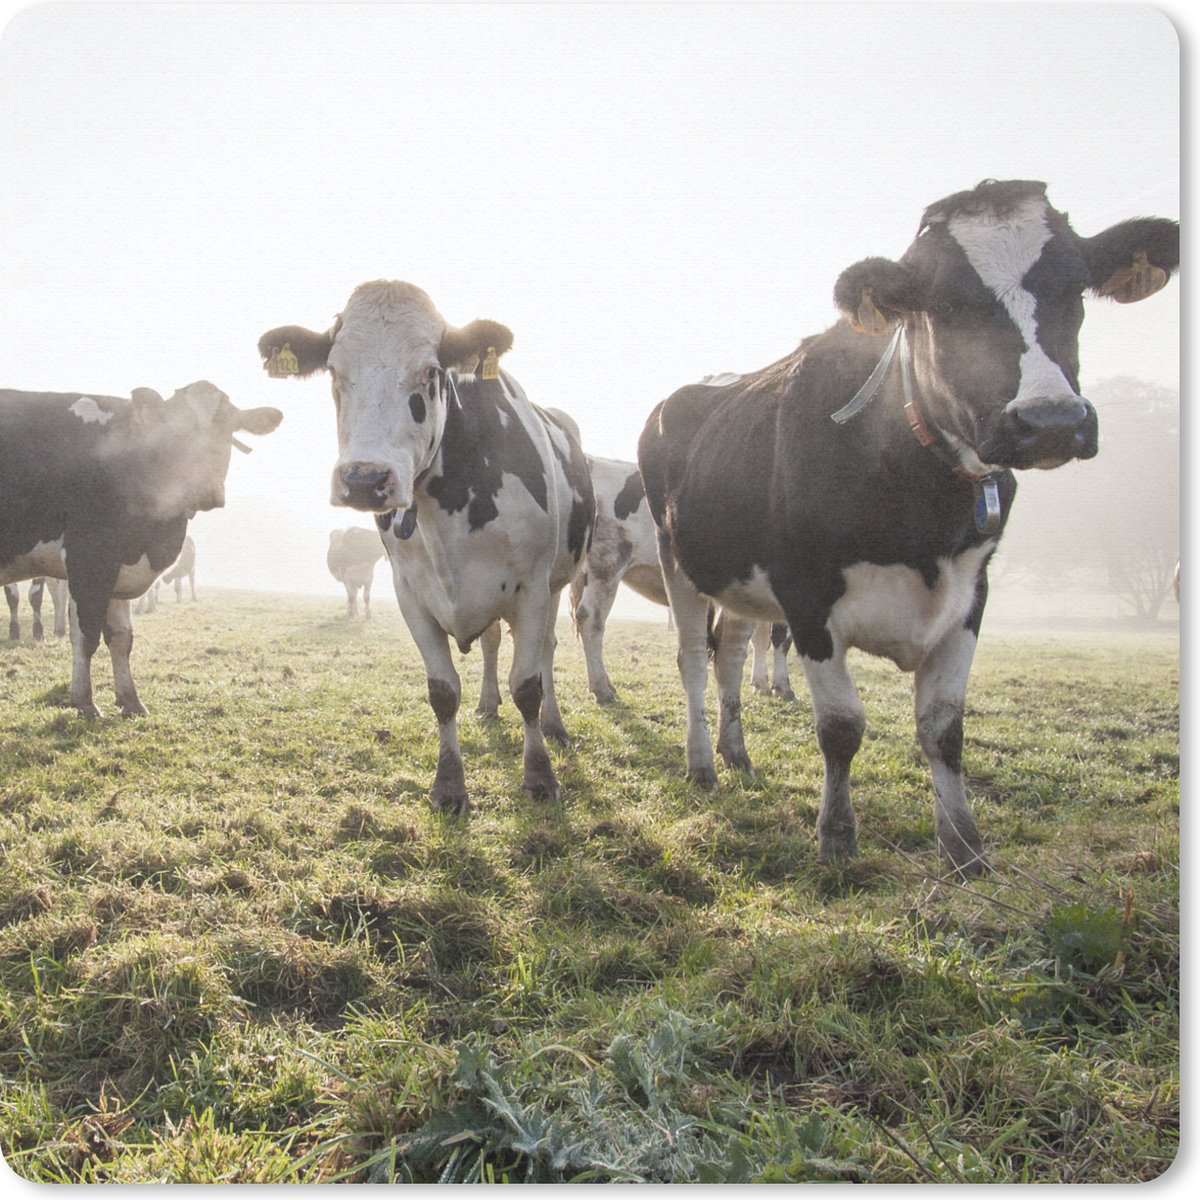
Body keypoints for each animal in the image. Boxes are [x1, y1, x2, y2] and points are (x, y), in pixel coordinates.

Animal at [1, 382, 282, 716]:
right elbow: (86, 635)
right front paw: (85, 702)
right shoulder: (89, 558)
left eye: (228, 427)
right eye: (174, 431)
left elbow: (122, 638)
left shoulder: (120, 565)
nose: (206, 490)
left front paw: (131, 701)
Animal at [258, 280, 595, 813]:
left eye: (431, 371)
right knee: (492, 644)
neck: (452, 504)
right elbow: (442, 692)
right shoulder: (410, 593)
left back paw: (555, 726)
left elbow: (528, 687)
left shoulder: (532, 588)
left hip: (559, 581)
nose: (365, 479)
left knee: (545, 649)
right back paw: (487, 704)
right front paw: (449, 784)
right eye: (334, 371)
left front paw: (540, 776)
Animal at [638, 179, 1179, 877]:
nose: (1052, 420)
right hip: (679, 559)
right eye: (944, 305)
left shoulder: (972, 590)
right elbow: (841, 727)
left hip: (740, 578)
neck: (920, 499)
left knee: (729, 654)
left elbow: (943, 727)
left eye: (1076, 288)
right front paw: (838, 839)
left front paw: (964, 849)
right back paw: (702, 764)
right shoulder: (807, 595)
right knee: (693, 662)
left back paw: (736, 754)